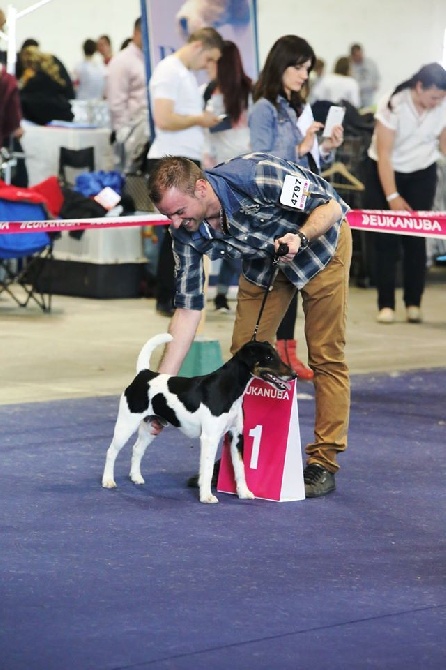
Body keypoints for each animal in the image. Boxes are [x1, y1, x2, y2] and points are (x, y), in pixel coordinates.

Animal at [102, 336, 294, 504]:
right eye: (268, 357)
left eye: (276, 354)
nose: (293, 375)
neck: (227, 388)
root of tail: (143, 374)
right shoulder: (210, 438)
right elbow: (207, 470)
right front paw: (207, 496)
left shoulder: (237, 436)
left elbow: (240, 468)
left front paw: (244, 493)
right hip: (126, 424)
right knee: (111, 451)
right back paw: (108, 481)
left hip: (151, 426)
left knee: (137, 449)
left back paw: (136, 477)